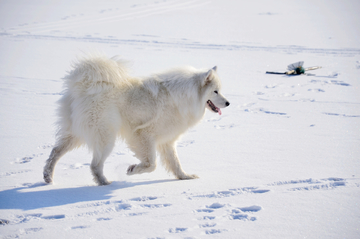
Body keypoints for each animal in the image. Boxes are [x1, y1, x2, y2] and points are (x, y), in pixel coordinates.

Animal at [43, 55, 229, 186]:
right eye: (215, 91)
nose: (228, 103)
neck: (185, 97)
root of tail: (85, 86)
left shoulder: (167, 141)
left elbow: (175, 163)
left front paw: (185, 177)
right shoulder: (144, 134)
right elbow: (151, 164)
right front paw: (133, 170)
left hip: (75, 134)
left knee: (55, 152)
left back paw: (48, 177)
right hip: (106, 137)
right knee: (95, 164)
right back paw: (104, 182)